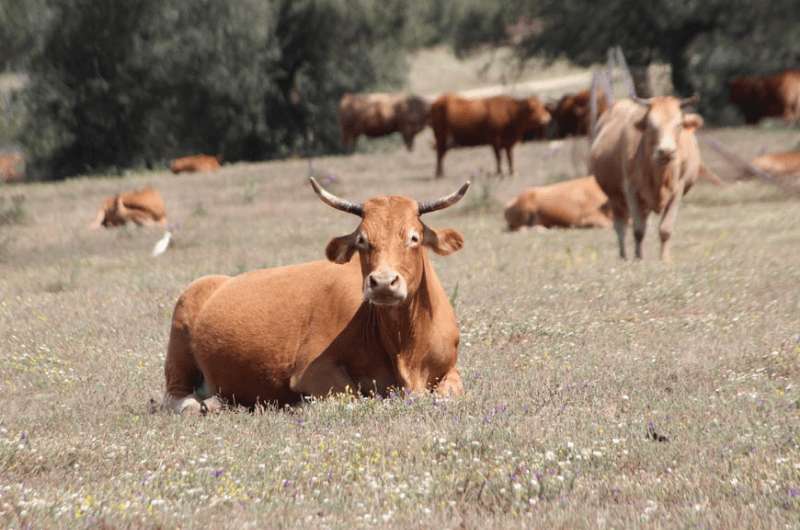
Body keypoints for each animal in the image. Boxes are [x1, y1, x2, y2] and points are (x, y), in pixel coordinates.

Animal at [163, 177, 472, 412]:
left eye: (413, 238)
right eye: (362, 241)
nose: (383, 282)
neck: (405, 347)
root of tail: (216, 281)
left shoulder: (451, 370)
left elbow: (450, 393)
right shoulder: (312, 370)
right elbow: (352, 394)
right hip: (179, 342)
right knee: (177, 396)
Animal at [588, 96, 708, 260]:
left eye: (678, 125)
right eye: (651, 125)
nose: (666, 151)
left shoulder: (678, 190)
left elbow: (665, 229)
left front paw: (664, 259)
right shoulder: (631, 190)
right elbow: (638, 230)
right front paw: (638, 259)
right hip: (615, 198)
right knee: (621, 227)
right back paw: (623, 256)